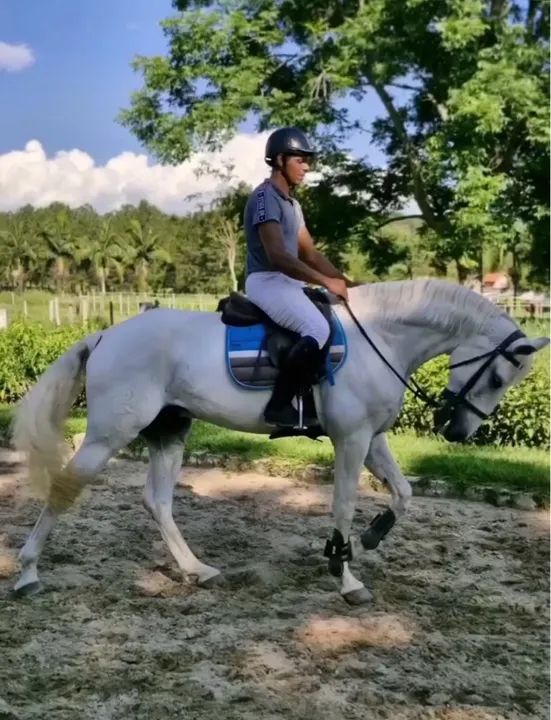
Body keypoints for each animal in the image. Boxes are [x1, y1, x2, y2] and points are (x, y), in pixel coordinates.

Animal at [10, 279, 548, 605]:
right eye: (498, 376)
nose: (455, 432)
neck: (381, 338)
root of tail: (105, 335)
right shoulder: (351, 440)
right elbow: (343, 506)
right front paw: (346, 575)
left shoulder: (373, 438)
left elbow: (404, 492)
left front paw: (371, 537)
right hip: (109, 434)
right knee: (65, 488)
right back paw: (28, 573)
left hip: (170, 431)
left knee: (157, 502)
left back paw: (196, 569)